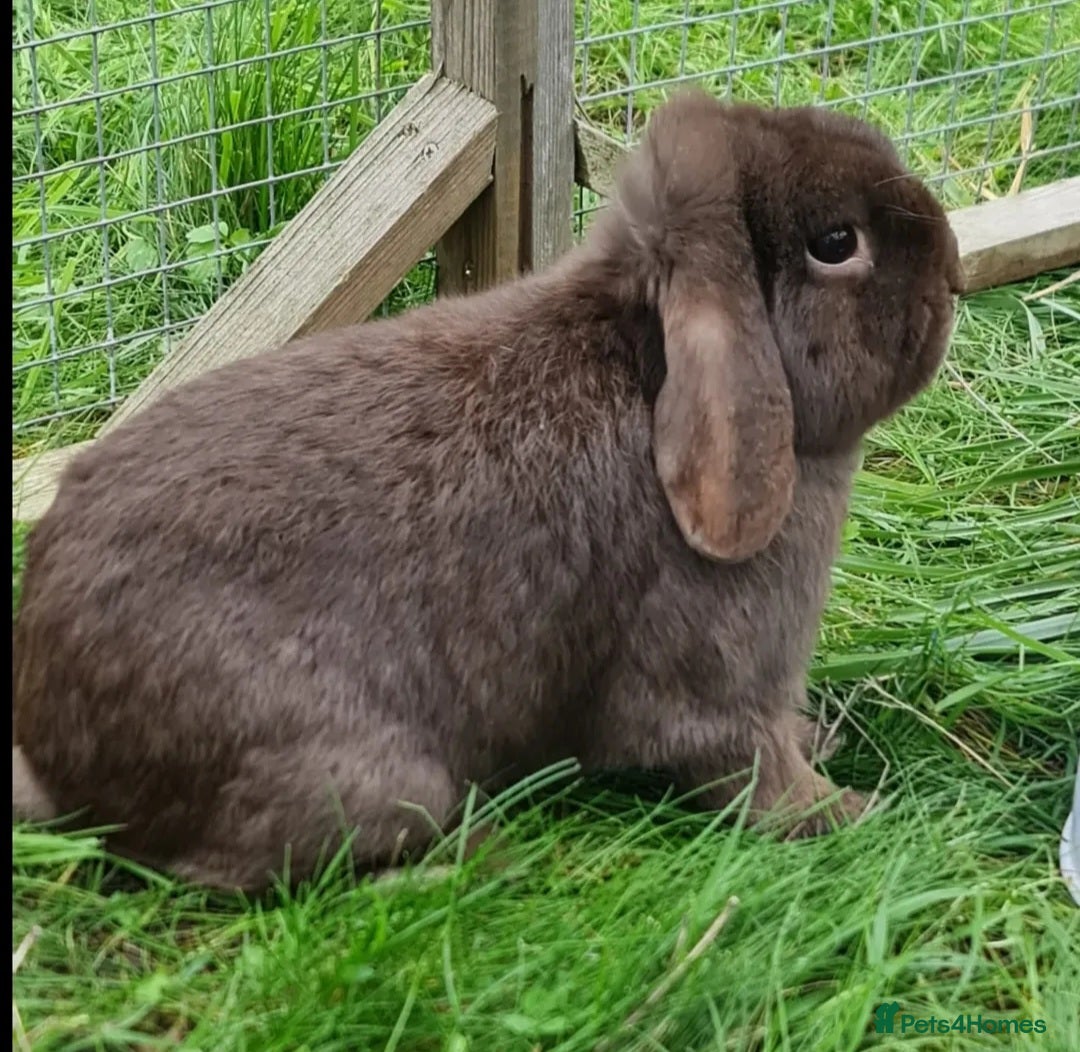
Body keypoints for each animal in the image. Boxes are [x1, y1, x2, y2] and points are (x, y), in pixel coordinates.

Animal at [12, 89, 962, 891]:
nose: (954, 269)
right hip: (363, 773)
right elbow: (750, 769)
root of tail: (62, 759)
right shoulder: (716, 683)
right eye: (836, 244)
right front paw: (855, 815)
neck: (649, 372)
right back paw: (472, 859)